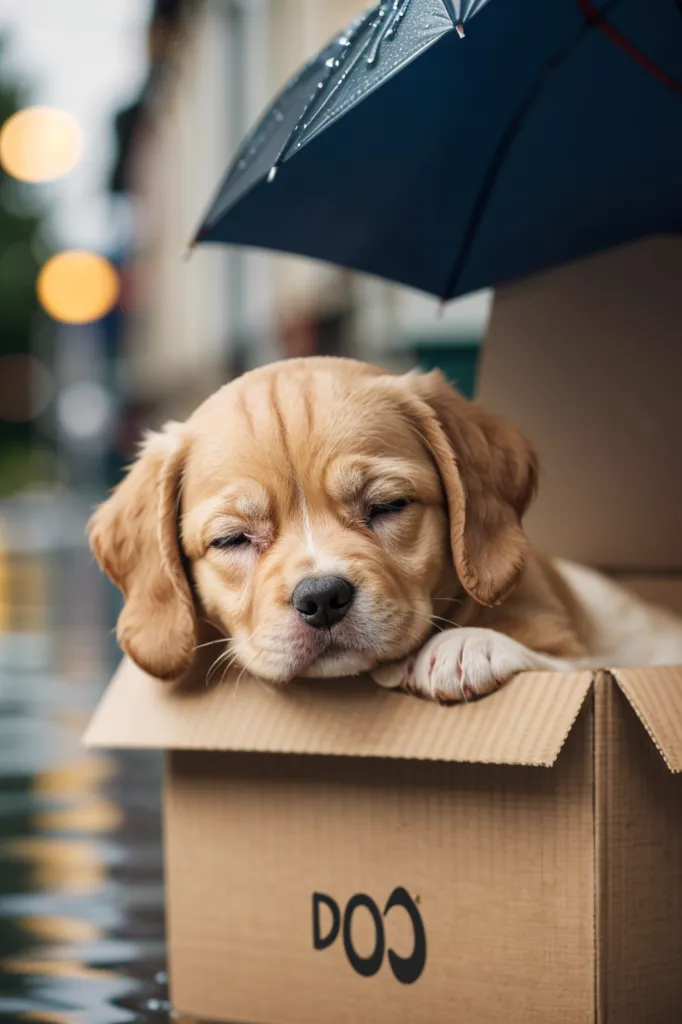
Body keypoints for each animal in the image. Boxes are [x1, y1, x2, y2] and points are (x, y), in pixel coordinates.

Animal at [86, 356, 682, 700]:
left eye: (388, 505)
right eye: (231, 539)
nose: (322, 597)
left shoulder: (603, 656)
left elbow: (577, 664)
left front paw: (466, 646)